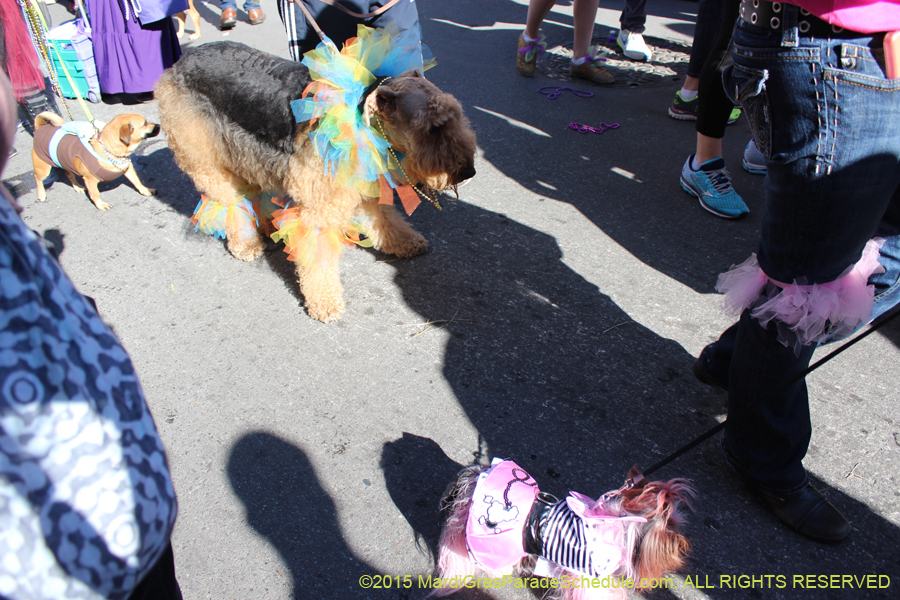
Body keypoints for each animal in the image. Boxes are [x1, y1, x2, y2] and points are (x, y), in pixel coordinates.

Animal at [32, 112, 160, 211]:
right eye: (145, 123)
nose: (159, 125)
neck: (107, 149)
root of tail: (40, 128)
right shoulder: (90, 180)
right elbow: (95, 194)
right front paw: (101, 205)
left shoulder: (128, 170)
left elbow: (137, 182)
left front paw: (145, 190)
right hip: (43, 169)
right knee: (37, 178)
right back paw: (41, 194)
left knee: (68, 174)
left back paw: (77, 187)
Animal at [155, 27, 478, 324]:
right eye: (432, 128)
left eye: (456, 116)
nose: (468, 170)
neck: (358, 119)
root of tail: (181, 61)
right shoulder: (320, 207)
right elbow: (318, 258)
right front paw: (326, 303)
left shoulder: (360, 184)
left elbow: (385, 219)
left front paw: (406, 242)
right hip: (205, 156)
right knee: (230, 201)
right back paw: (246, 244)